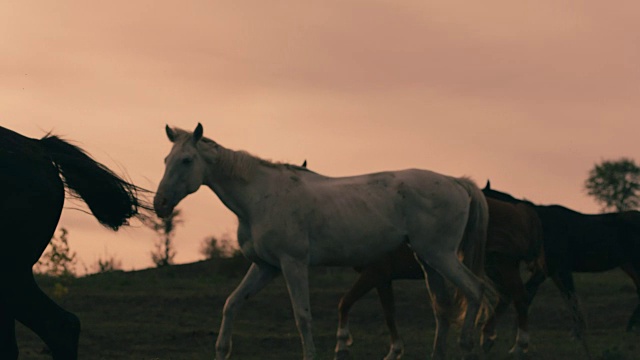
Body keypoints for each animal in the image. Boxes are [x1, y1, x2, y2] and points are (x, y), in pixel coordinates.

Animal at [154, 124, 496, 360]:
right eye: (166, 159)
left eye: (186, 160)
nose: (160, 204)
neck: (259, 197)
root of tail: (456, 182)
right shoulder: (265, 267)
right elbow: (232, 304)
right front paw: (222, 350)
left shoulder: (293, 264)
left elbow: (303, 317)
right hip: (428, 260)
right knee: (443, 308)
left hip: (441, 256)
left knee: (475, 290)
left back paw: (468, 345)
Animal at [332, 187, 544, 358]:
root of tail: (520, 211)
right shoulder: (383, 279)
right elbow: (389, 314)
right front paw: (394, 352)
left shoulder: (375, 274)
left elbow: (345, 302)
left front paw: (342, 346)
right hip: (494, 268)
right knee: (507, 296)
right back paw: (488, 338)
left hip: (504, 266)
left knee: (520, 298)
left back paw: (519, 346)